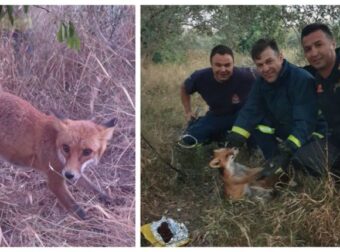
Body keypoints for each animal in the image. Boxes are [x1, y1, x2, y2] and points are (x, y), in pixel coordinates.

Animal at [0, 90, 117, 219]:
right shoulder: (55, 179)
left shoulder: (73, 171)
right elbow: (78, 210)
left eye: (87, 152)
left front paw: (111, 201)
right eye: (66, 148)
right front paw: (92, 222)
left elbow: (94, 189)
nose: (69, 175)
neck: (54, 142)